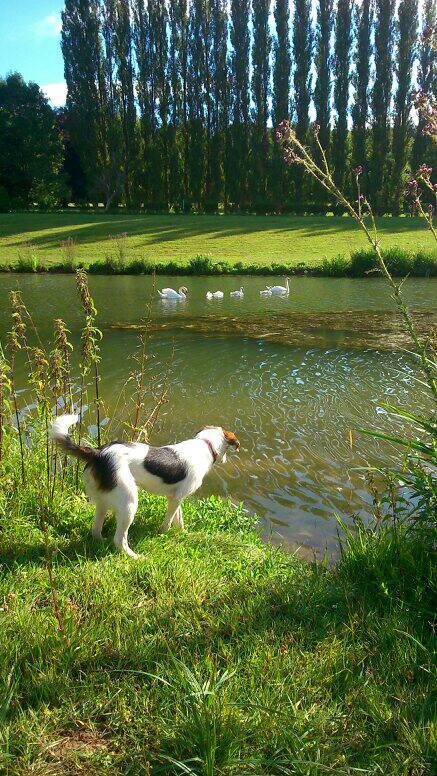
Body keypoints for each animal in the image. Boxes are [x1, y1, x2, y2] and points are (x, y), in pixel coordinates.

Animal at [52, 416, 242, 556]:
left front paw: (183, 534)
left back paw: (100, 542)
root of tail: (98, 453)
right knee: (119, 539)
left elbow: (179, 520)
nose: (226, 460)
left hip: (103, 500)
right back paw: (133, 556)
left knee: (96, 529)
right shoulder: (176, 498)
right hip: (129, 502)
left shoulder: (176, 497)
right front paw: (163, 534)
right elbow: (168, 522)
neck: (205, 444)